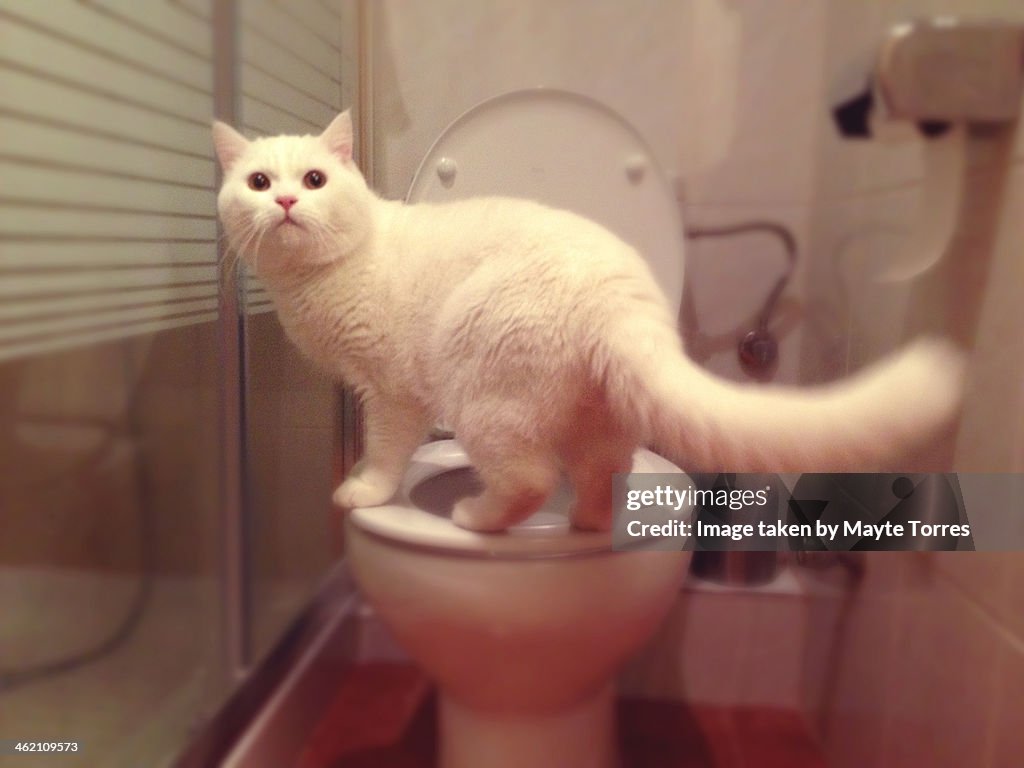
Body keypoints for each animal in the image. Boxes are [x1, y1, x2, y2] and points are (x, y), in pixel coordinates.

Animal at [211, 111, 962, 536]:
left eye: (313, 180)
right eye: (257, 183)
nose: (283, 202)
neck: (325, 274)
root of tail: (620, 295)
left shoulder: (392, 394)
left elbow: (386, 452)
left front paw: (363, 491)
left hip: (483, 399)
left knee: (528, 480)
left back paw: (476, 519)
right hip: (599, 418)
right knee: (602, 477)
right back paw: (585, 527)